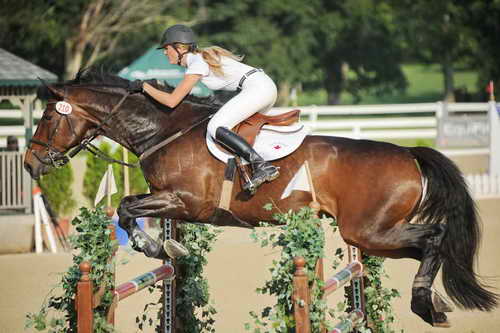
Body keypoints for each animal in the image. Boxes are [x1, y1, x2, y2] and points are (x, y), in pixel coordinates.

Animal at [25, 68, 498, 326]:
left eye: (47, 117)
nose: (31, 164)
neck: (163, 129)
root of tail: (408, 153)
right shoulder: (173, 201)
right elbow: (131, 209)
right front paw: (167, 247)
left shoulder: (185, 201)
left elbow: (126, 208)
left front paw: (156, 246)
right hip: (374, 235)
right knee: (428, 245)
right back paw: (433, 302)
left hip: (368, 231)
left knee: (434, 237)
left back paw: (424, 304)